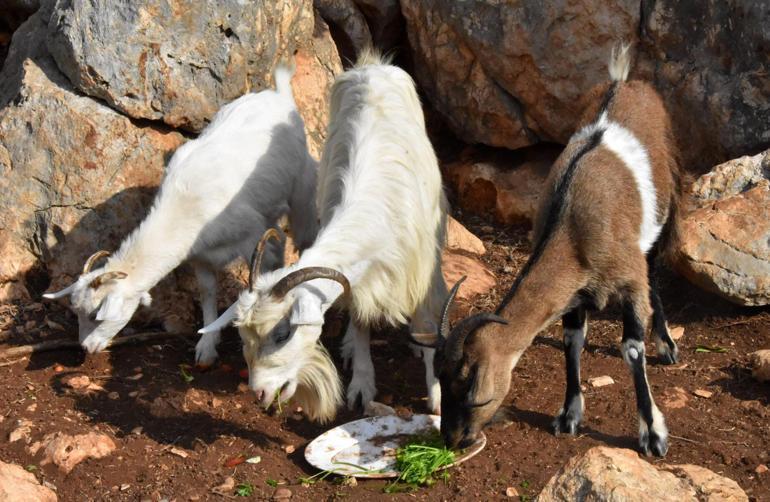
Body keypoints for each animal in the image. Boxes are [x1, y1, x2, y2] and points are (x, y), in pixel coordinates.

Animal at [42, 65, 320, 364]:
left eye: (96, 314)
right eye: (78, 312)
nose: (85, 347)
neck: (185, 208)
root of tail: (278, 94)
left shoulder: (253, 238)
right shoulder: (201, 257)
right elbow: (207, 292)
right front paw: (207, 347)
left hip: (301, 187)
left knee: (302, 231)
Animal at [201, 51, 448, 422]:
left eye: (283, 334)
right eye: (244, 337)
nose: (260, 393)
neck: (374, 214)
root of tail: (372, 65)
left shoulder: (421, 273)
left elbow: (428, 326)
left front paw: (436, 395)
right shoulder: (361, 280)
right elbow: (360, 320)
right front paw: (361, 383)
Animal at [414, 45, 680, 456]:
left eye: (472, 385)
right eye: (440, 377)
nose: (454, 439)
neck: (571, 226)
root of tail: (623, 82)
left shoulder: (628, 280)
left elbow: (632, 348)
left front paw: (652, 434)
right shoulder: (575, 292)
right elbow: (572, 342)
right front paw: (568, 415)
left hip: (659, 215)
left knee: (653, 269)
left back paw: (666, 345)